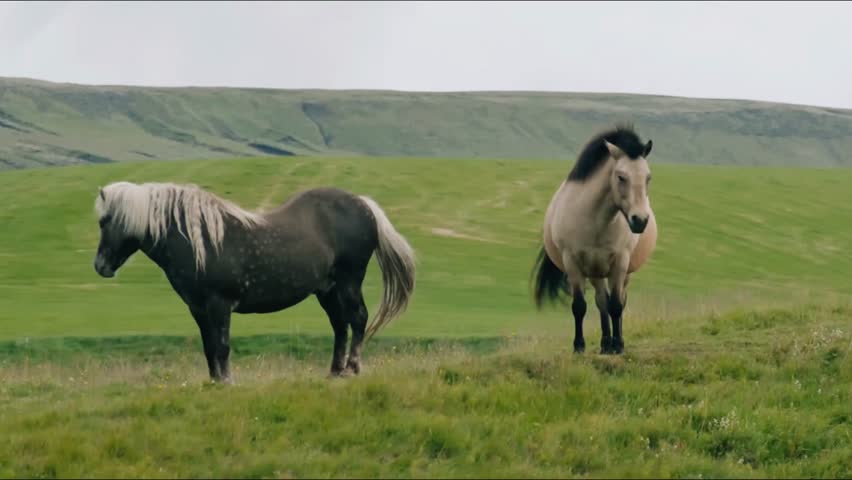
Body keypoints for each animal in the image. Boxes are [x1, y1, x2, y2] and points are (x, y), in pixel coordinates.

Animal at [93, 181, 416, 382]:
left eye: (105, 221)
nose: (100, 266)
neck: (200, 241)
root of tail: (364, 205)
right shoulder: (197, 308)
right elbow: (209, 346)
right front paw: (214, 382)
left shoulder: (219, 304)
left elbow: (222, 346)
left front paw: (227, 382)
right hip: (327, 290)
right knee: (340, 326)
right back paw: (334, 372)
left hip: (349, 281)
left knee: (358, 318)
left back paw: (352, 368)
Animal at [531, 124, 657, 355]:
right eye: (621, 177)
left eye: (648, 177)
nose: (640, 220)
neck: (596, 221)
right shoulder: (573, 264)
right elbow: (580, 307)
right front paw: (579, 346)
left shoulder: (620, 263)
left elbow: (616, 305)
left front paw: (619, 345)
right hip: (595, 272)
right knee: (601, 301)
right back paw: (605, 343)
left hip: (621, 273)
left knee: (618, 301)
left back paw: (613, 342)